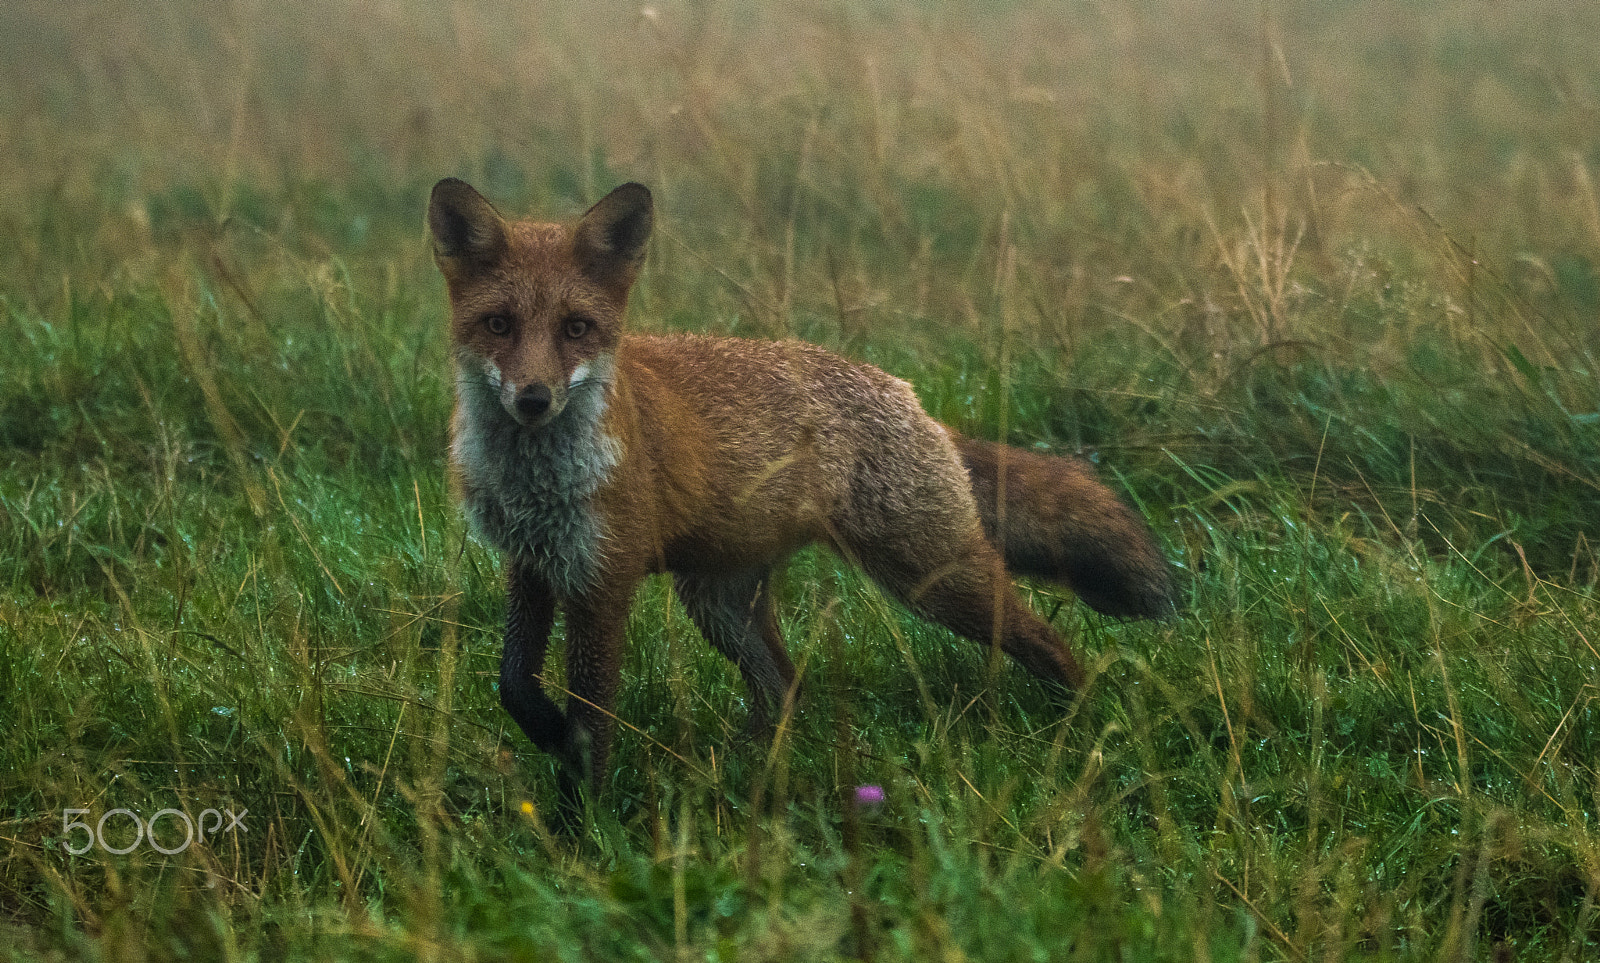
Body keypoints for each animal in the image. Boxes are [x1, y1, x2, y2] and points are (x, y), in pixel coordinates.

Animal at [428, 178, 1176, 807]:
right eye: (499, 324)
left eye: (576, 328)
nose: (533, 399)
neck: (535, 481)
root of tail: (919, 403)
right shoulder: (532, 564)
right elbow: (514, 684)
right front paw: (547, 736)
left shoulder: (602, 577)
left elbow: (592, 717)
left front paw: (580, 822)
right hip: (720, 604)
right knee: (786, 689)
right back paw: (746, 768)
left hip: (931, 579)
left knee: (1046, 640)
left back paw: (1080, 719)